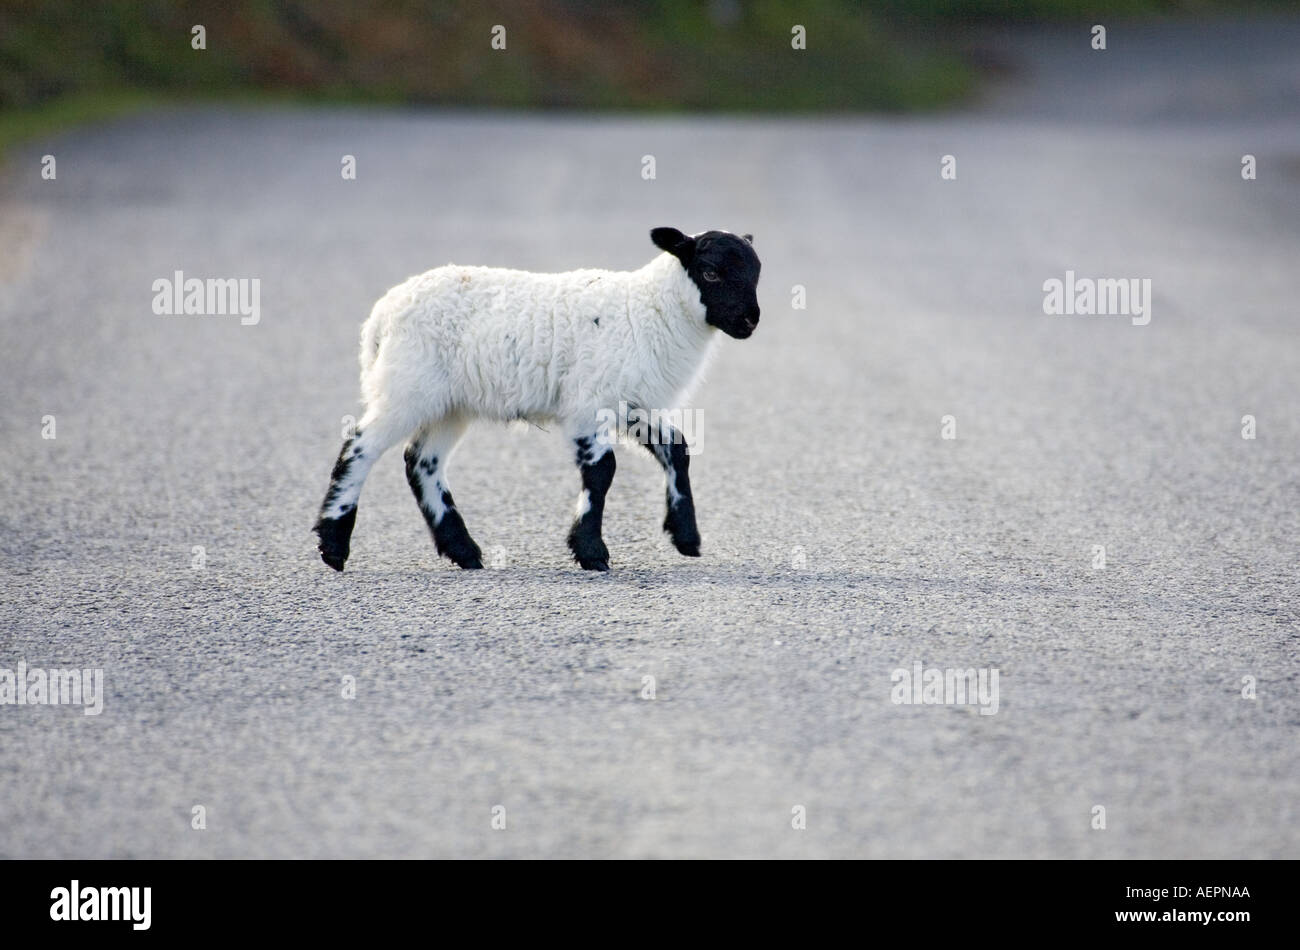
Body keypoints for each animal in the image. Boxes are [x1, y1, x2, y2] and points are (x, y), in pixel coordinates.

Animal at [314, 230, 759, 571]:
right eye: (710, 272)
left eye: (757, 272)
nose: (750, 321)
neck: (652, 309)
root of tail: (381, 316)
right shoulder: (588, 401)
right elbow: (602, 471)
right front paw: (591, 552)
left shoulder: (632, 403)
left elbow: (676, 449)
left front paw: (686, 538)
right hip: (407, 387)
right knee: (359, 447)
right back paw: (333, 545)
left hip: (449, 404)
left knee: (421, 462)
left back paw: (464, 552)